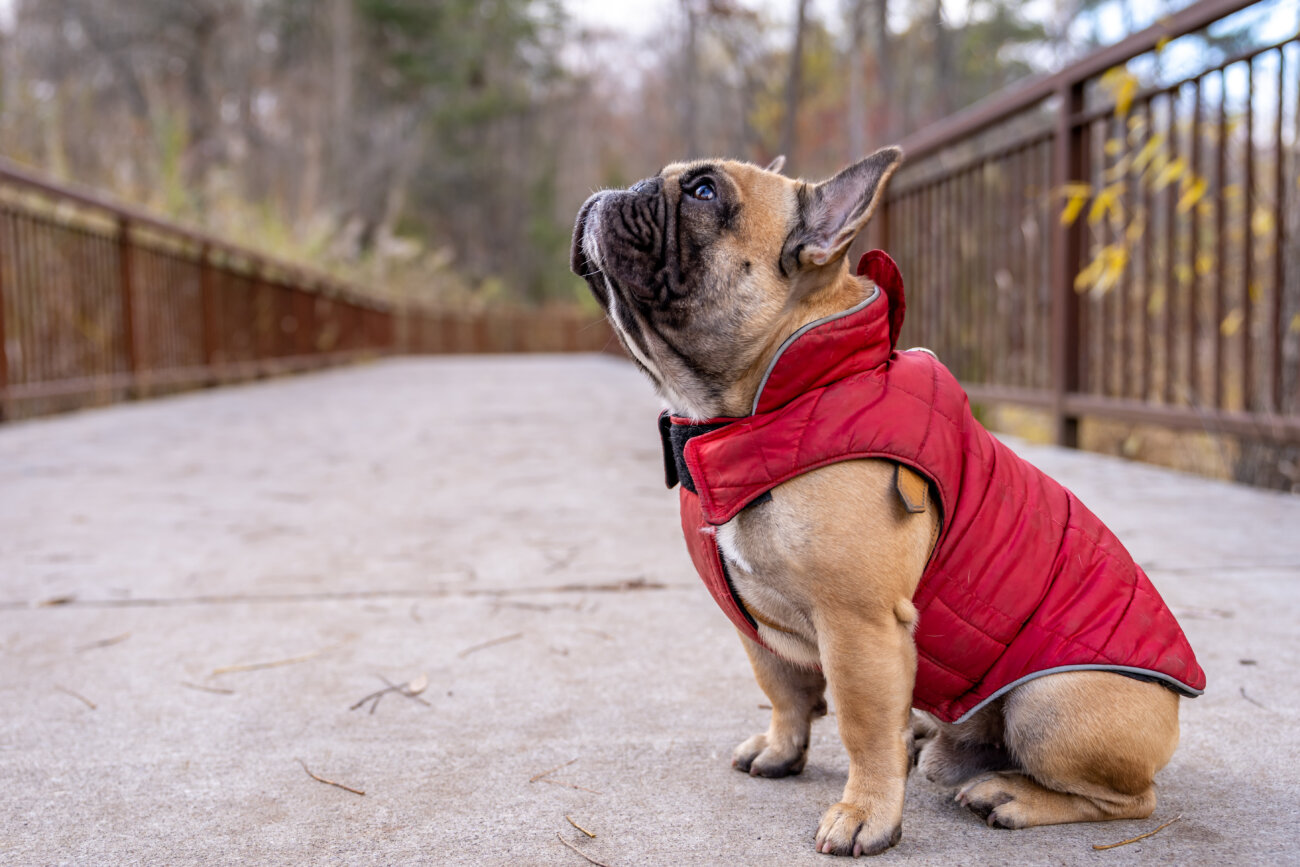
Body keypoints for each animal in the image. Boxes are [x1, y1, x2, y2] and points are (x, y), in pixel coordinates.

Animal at [574, 147, 1201, 852]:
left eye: (704, 191)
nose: (619, 190)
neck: (756, 407)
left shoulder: (858, 626)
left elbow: (864, 727)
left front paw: (865, 814)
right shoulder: (754, 626)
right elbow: (782, 689)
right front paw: (781, 748)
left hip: (1052, 705)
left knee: (1130, 799)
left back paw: (1010, 794)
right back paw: (934, 738)